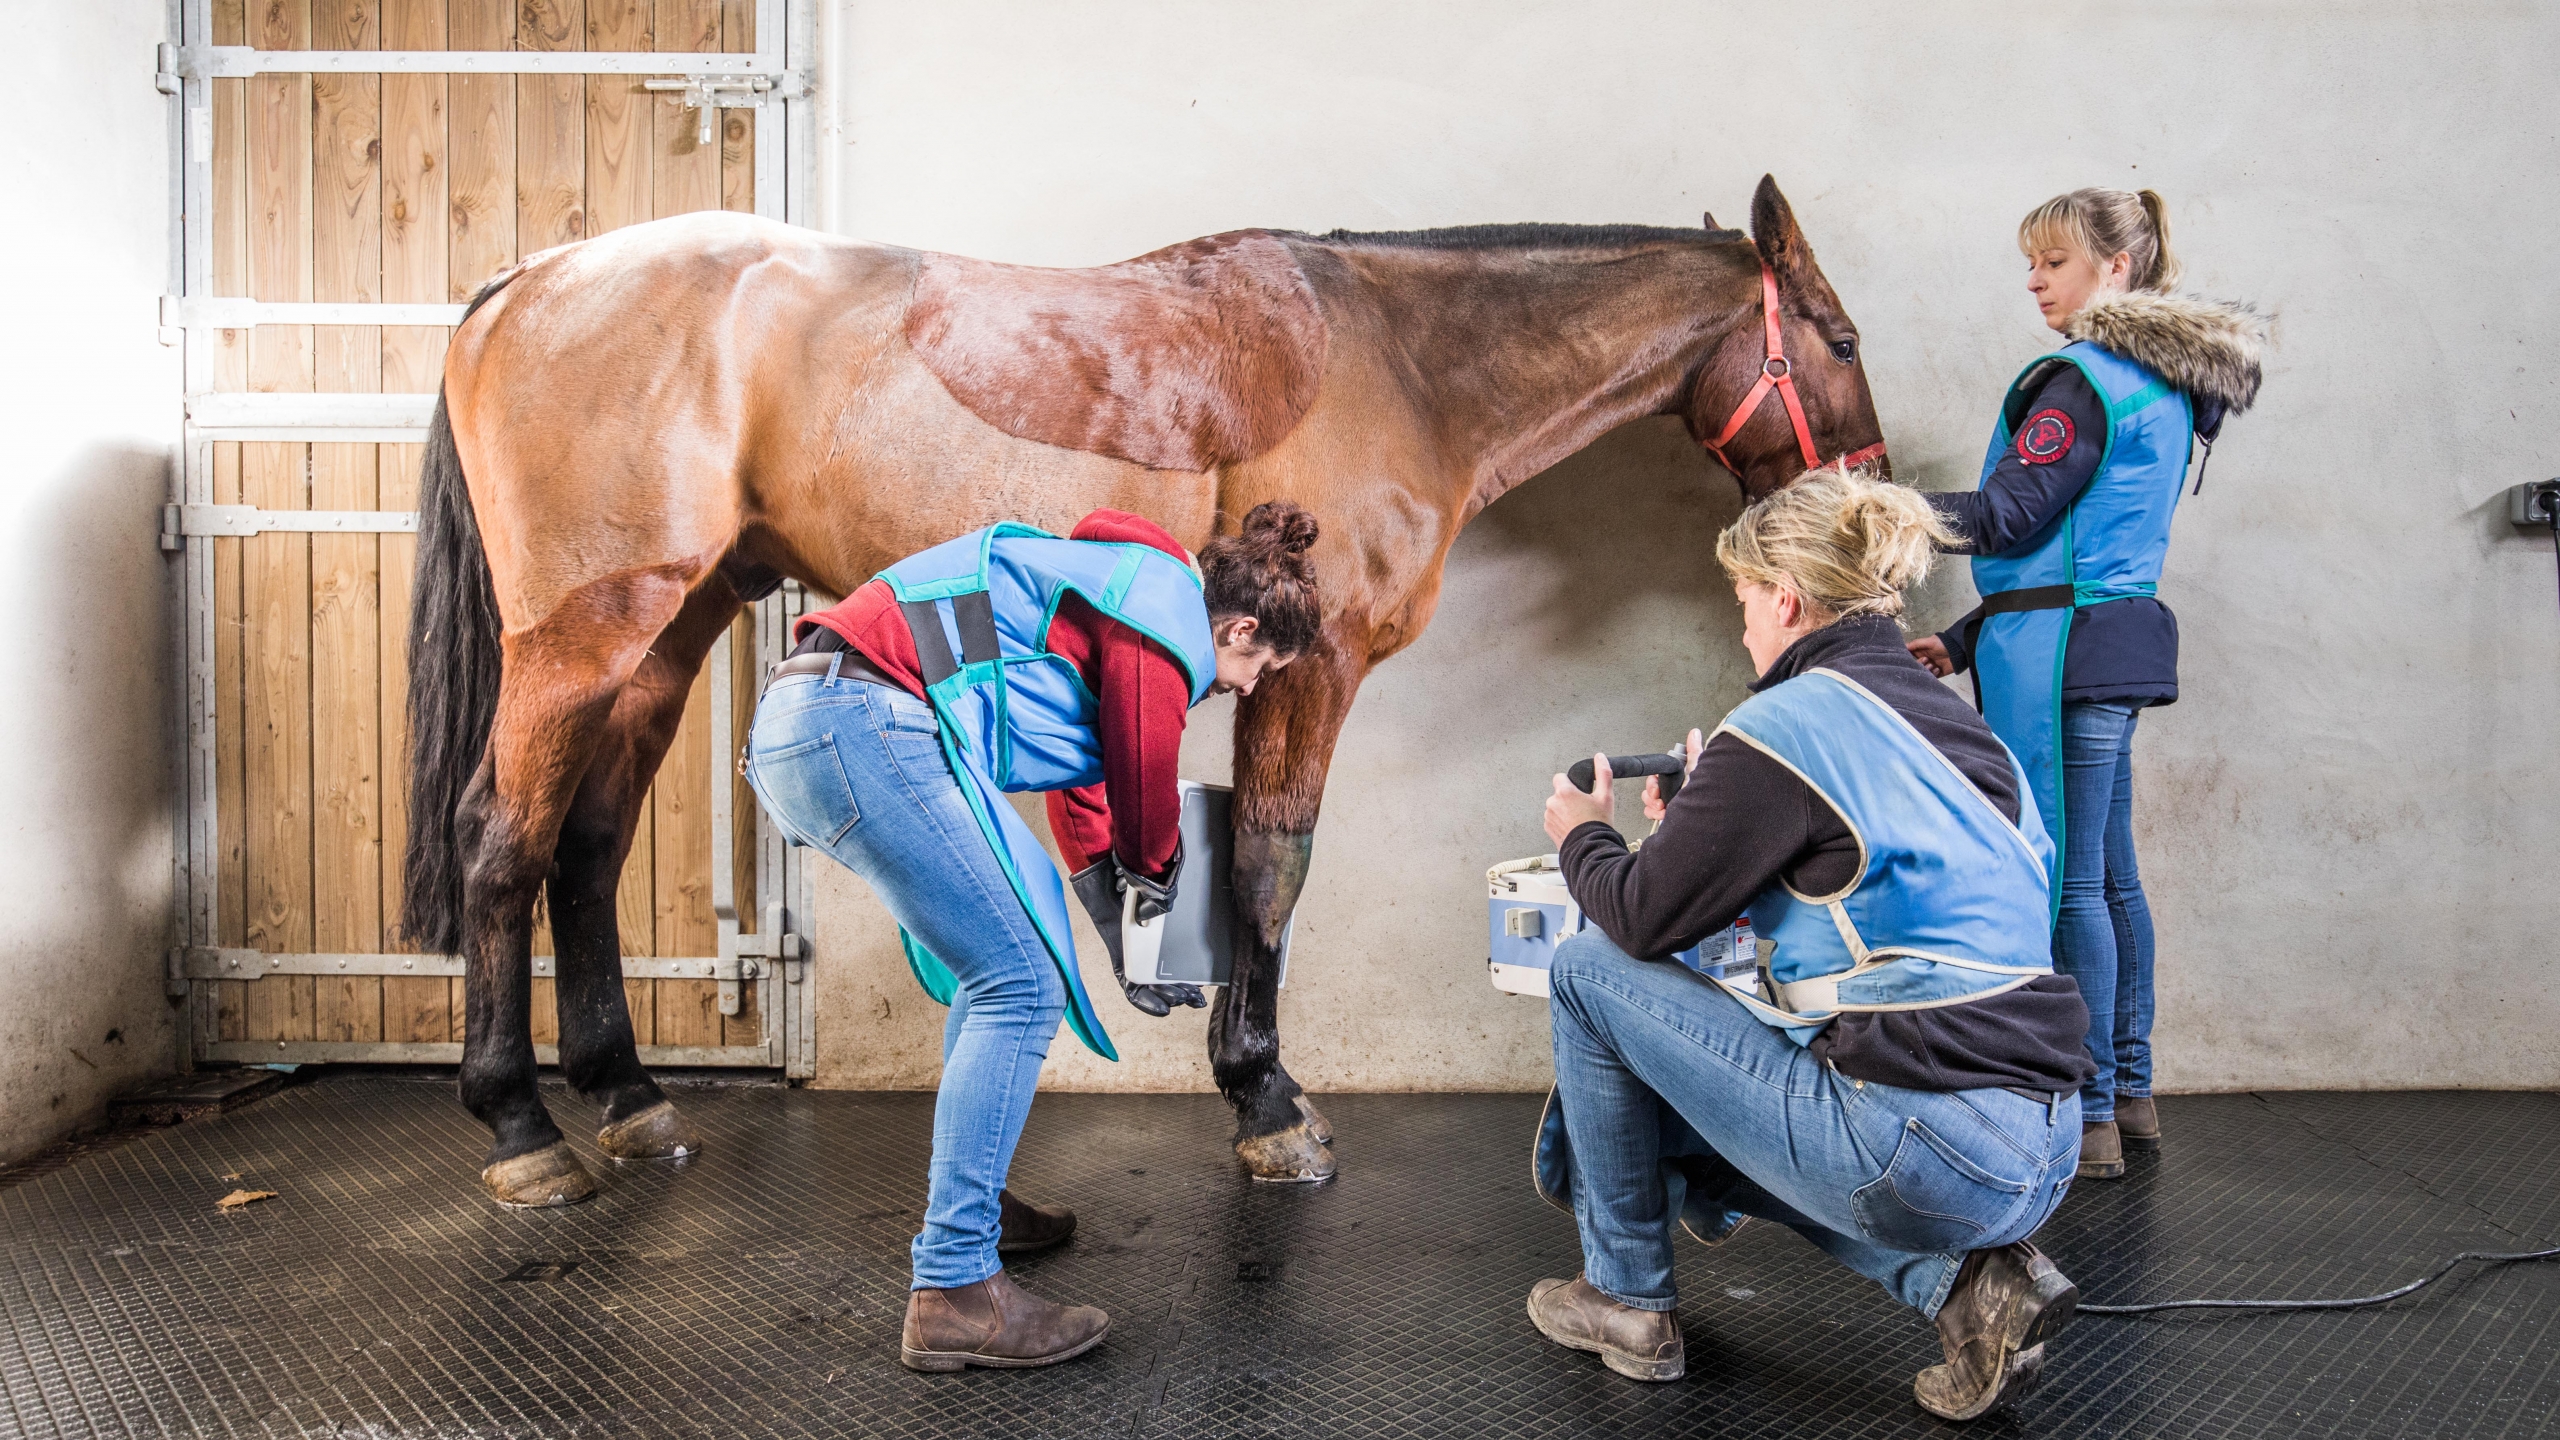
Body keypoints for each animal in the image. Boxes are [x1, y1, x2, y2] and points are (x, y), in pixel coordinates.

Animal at [399, 170, 1884, 1199]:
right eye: (1845, 342)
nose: (1888, 507)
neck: (1399, 358)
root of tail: (525, 284)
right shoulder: (1309, 670)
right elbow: (1274, 870)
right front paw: (1267, 1104)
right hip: (580, 642)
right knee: (501, 842)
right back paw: (521, 1125)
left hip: (667, 636)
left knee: (586, 849)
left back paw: (625, 1095)